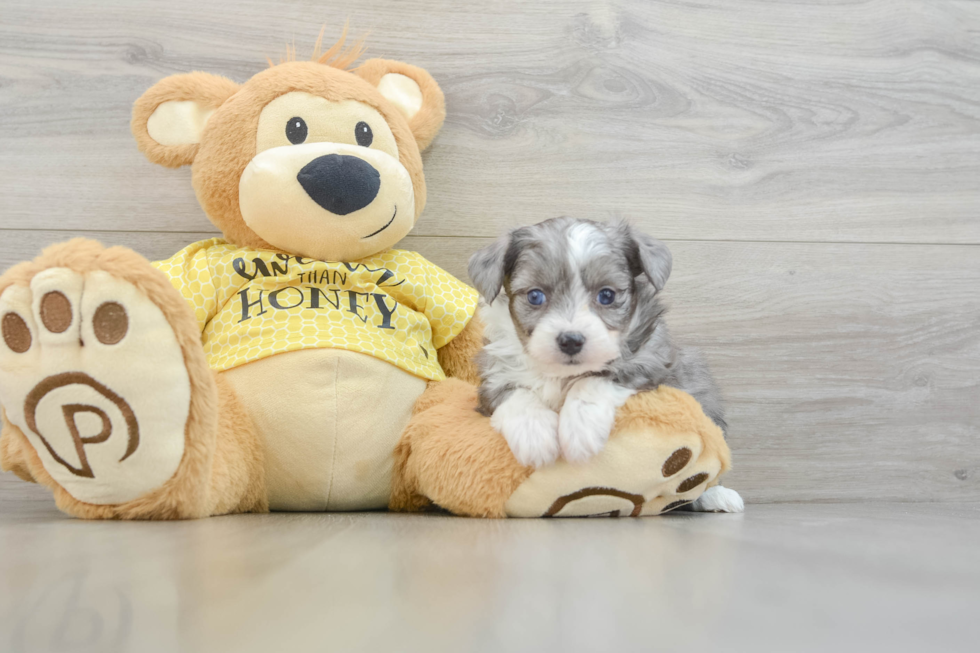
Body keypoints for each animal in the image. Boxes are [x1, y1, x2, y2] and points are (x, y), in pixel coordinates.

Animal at [468, 216, 744, 512]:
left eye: (607, 295)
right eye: (535, 296)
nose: (571, 341)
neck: (561, 374)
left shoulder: (650, 362)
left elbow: (596, 379)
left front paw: (580, 430)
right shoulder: (493, 375)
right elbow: (515, 394)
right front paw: (535, 436)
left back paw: (717, 495)